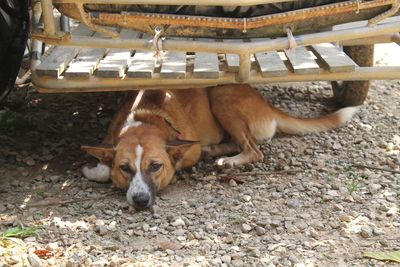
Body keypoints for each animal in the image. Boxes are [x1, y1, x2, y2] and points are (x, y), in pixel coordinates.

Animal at [80, 85, 356, 210]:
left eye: (156, 166)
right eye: (125, 168)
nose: (139, 200)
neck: (145, 116)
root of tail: (266, 103)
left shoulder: (188, 147)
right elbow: (104, 166)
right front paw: (97, 169)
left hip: (221, 96)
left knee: (254, 150)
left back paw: (229, 160)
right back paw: (215, 151)